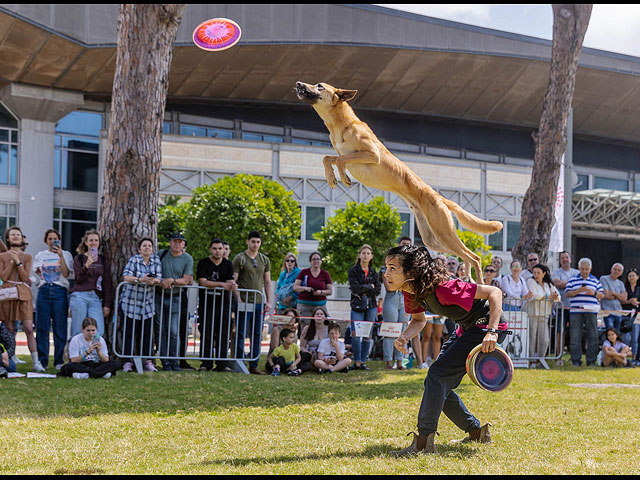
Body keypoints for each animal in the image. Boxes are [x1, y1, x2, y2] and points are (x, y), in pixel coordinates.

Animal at [296, 81, 504, 284]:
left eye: (320, 86)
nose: (298, 84)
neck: (340, 124)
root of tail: (440, 198)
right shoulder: (344, 153)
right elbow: (328, 157)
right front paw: (331, 176)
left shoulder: (373, 155)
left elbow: (340, 159)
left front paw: (343, 176)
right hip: (433, 240)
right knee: (466, 254)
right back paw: (468, 276)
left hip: (443, 232)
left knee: (474, 257)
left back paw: (481, 283)